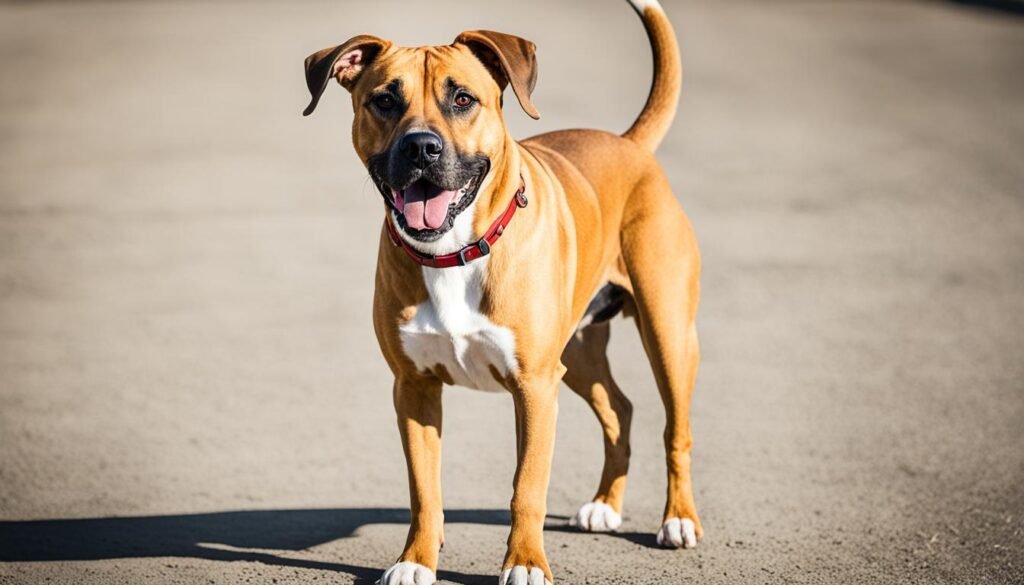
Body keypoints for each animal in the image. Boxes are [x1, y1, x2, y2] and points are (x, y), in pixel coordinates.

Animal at [301, 1, 704, 585]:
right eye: (385, 100)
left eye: (463, 99)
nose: (421, 147)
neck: (455, 251)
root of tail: (627, 143)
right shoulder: (413, 388)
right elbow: (424, 490)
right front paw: (415, 560)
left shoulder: (534, 387)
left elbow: (526, 487)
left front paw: (527, 563)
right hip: (576, 354)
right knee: (620, 409)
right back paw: (605, 504)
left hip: (666, 332)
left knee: (676, 428)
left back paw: (678, 520)